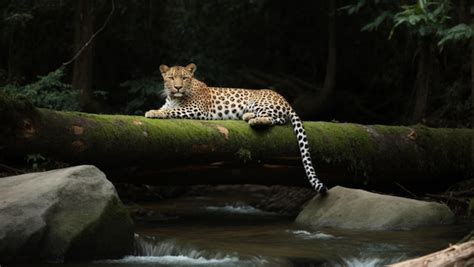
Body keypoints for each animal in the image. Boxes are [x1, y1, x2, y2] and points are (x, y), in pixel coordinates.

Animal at [144, 63, 328, 193]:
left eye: (184, 78)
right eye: (170, 77)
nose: (177, 87)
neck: (174, 97)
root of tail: (286, 101)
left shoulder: (196, 110)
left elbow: (172, 111)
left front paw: (153, 112)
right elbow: (166, 108)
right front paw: (154, 110)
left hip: (259, 101)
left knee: (277, 119)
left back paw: (254, 120)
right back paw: (248, 116)